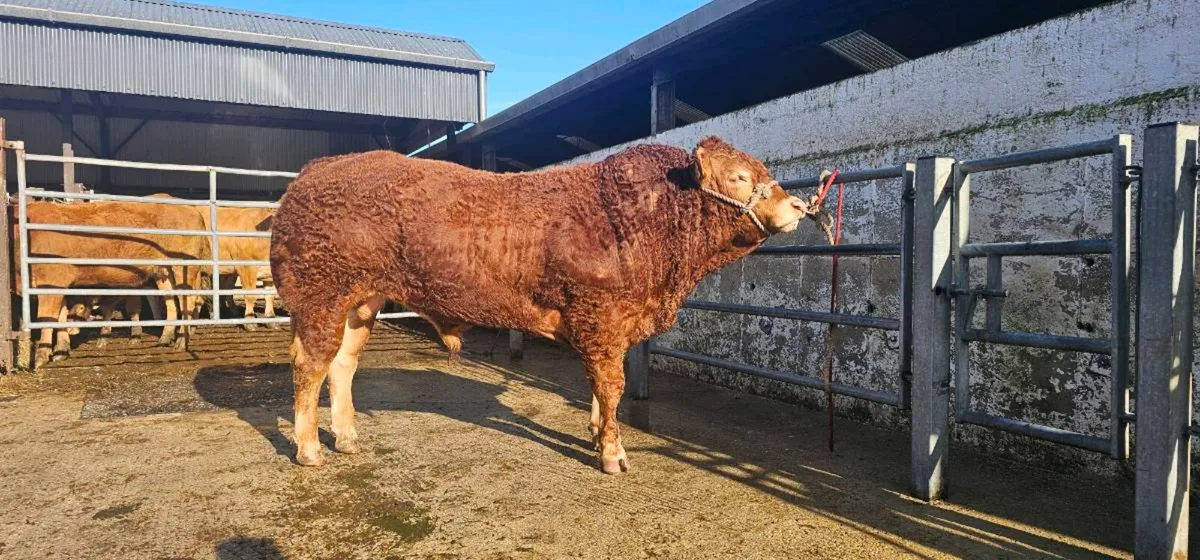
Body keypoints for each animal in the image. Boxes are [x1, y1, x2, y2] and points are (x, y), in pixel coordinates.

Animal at [14, 200, 208, 369]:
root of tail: (191, 209)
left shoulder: (51, 281)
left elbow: (46, 318)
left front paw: (41, 357)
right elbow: (61, 316)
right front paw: (61, 351)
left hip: (184, 266)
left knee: (188, 300)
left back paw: (182, 341)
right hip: (163, 272)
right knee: (170, 301)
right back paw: (165, 338)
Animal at [270, 136, 813, 472]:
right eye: (739, 177)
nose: (797, 206)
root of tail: (317, 170)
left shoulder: (609, 325)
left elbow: (600, 386)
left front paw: (595, 432)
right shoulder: (601, 316)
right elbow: (611, 385)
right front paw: (612, 452)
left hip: (361, 302)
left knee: (341, 365)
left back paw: (346, 437)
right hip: (321, 298)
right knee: (309, 366)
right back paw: (310, 448)